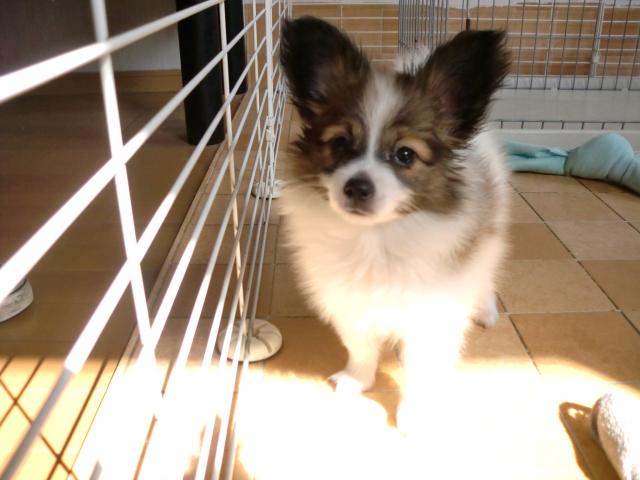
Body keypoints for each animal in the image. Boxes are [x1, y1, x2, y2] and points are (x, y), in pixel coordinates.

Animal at [278, 16, 511, 432]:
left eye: (405, 154)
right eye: (339, 144)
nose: (357, 187)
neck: (377, 238)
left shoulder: (431, 314)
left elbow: (420, 369)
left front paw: (414, 413)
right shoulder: (348, 302)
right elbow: (360, 347)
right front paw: (357, 380)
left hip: (489, 236)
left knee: (484, 274)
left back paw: (484, 309)